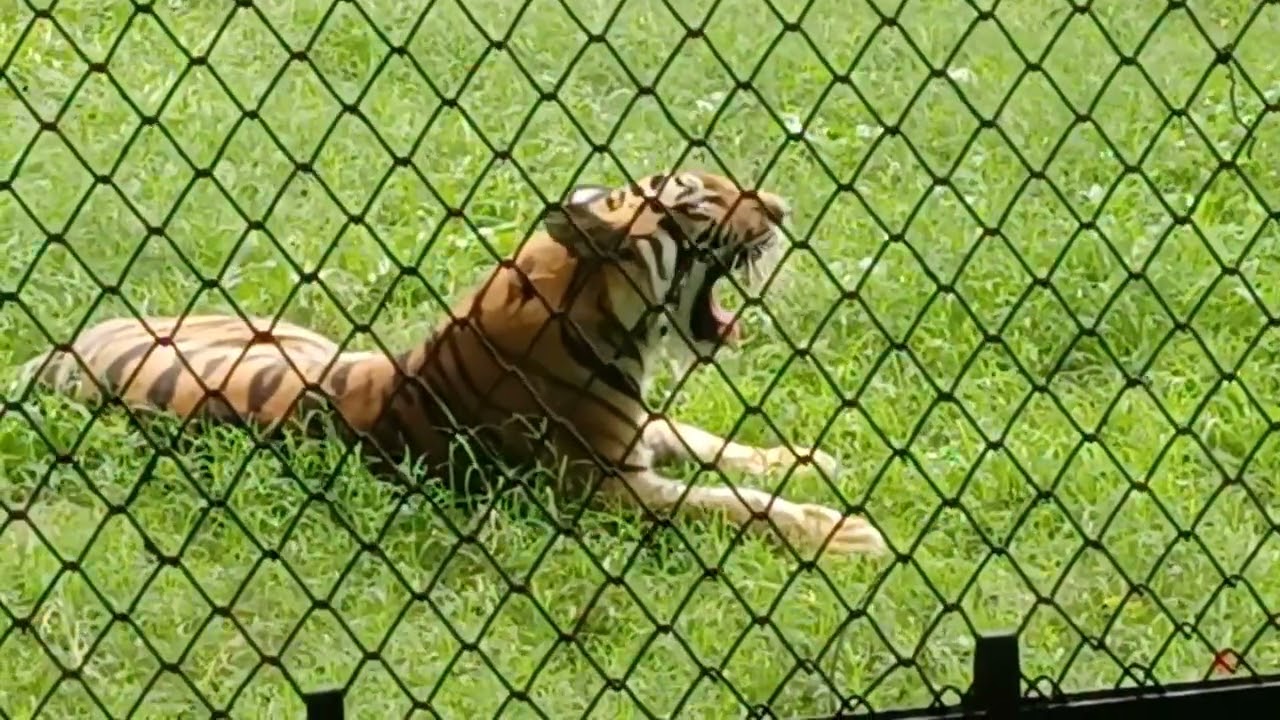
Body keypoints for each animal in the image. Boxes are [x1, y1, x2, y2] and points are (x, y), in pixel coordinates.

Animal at [17, 169, 887, 557]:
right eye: (704, 204)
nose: (782, 208)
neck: (609, 321)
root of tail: (54, 354)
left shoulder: (642, 433)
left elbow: (714, 443)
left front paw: (810, 457)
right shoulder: (607, 487)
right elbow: (732, 503)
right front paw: (844, 531)